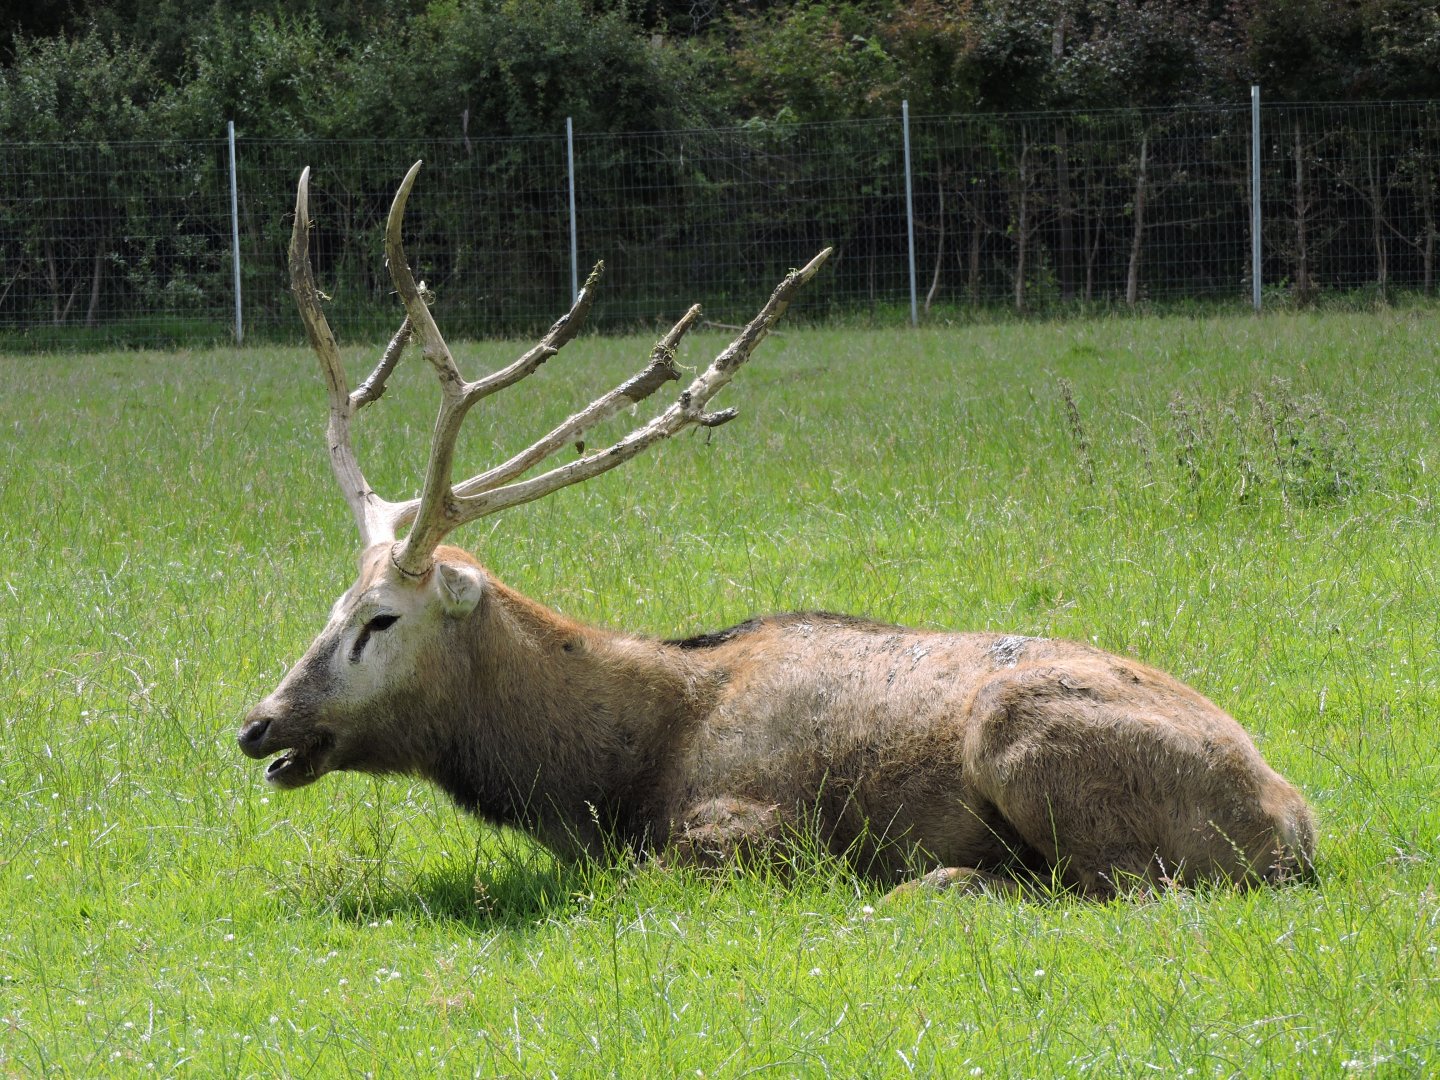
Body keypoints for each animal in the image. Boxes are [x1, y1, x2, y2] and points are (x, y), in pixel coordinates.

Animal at [238, 162, 1316, 900]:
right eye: (333, 603)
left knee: (1118, 887)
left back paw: (940, 886)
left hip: (1033, 742)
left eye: (379, 619)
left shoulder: (762, 829)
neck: (608, 776)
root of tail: (1297, 827)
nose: (259, 723)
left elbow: (654, 872)